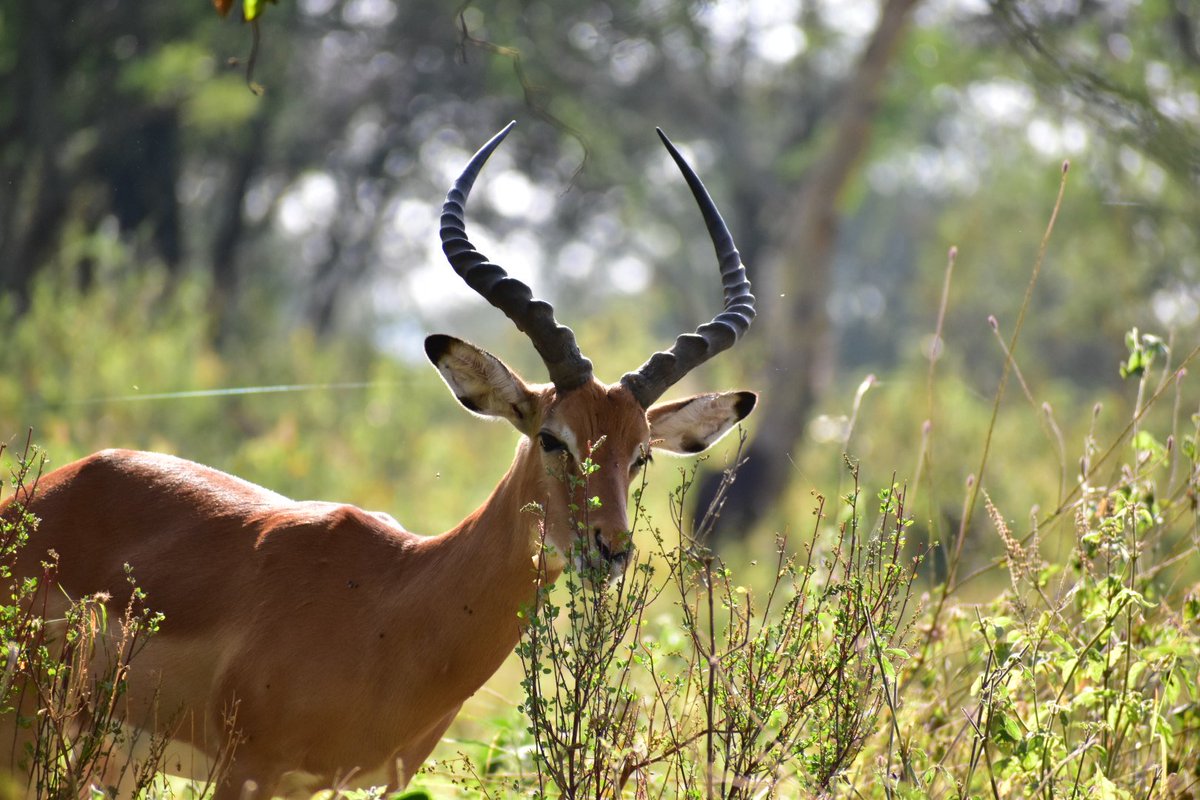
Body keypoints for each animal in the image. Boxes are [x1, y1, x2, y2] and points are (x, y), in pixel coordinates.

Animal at [0, 122, 757, 798]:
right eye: (552, 437)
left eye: (640, 456)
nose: (612, 549)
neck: (397, 602)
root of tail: (34, 503)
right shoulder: (248, 772)